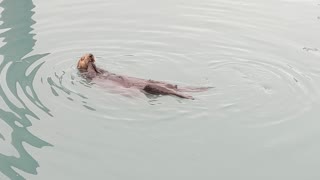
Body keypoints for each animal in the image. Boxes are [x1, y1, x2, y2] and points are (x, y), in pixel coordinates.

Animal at [77, 53, 210, 99]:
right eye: (82, 57)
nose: (91, 55)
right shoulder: (88, 75)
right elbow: (91, 72)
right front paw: (90, 64)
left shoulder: (102, 71)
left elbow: (103, 71)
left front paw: (95, 63)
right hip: (150, 87)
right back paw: (189, 96)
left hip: (162, 84)